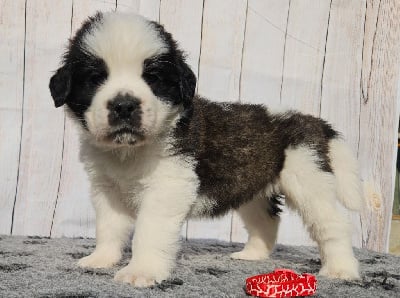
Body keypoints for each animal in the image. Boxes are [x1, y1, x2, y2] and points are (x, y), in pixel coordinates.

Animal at [48, 12, 364, 288]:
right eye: (95, 78)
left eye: (153, 78)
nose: (124, 106)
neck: (129, 152)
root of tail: (314, 121)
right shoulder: (107, 188)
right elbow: (109, 227)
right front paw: (100, 259)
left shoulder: (168, 185)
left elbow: (149, 231)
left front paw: (141, 271)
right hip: (252, 186)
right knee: (266, 221)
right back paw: (251, 255)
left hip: (308, 178)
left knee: (333, 224)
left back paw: (341, 269)